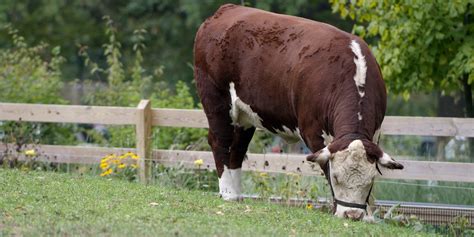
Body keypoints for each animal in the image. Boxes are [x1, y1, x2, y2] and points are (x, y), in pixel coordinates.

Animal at [193, 4, 404, 220]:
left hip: (244, 117)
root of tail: (226, 9)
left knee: (237, 148)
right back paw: (227, 192)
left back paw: (236, 195)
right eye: (336, 177)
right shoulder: (313, 131)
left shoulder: (375, 133)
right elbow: (324, 164)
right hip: (216, 100)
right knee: (221, 142)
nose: (351, 214)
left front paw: (369, 216)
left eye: (370, 180)